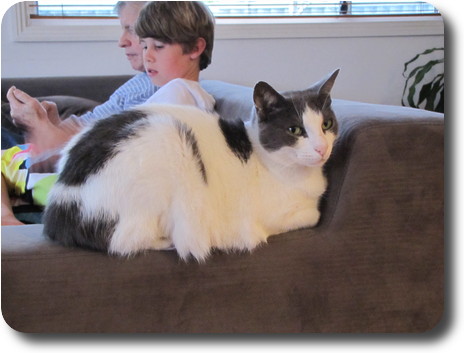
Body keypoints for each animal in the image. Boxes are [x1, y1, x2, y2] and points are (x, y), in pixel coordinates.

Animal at [42, 69, 340, 262]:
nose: (322, 148)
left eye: (326, 124)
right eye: (295, 130)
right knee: (125, 240)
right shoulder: (274, 217)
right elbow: (312, 216)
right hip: (169, 138)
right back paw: (170, 241)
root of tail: (59, 202)